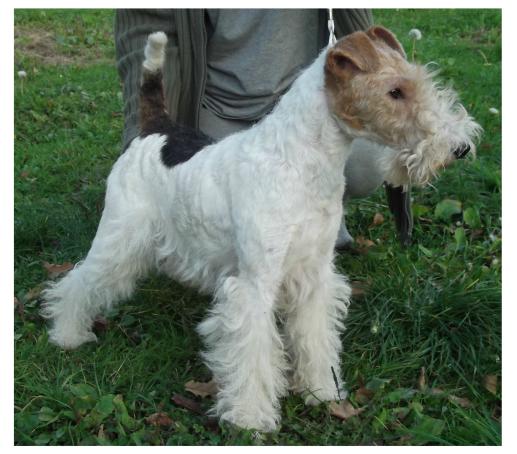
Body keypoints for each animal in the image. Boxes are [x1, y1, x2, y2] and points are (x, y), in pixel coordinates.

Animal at [41, 27, 481, 432]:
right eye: (395, 91)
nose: (458, 149)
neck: (302, 162)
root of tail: (156, 128)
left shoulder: (314, 273)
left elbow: (315, 337)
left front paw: (322, 390)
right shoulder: (255, 284)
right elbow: (252, 354)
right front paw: (249, 418)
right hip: (119, 237)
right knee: (78, 282)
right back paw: (67, 334)